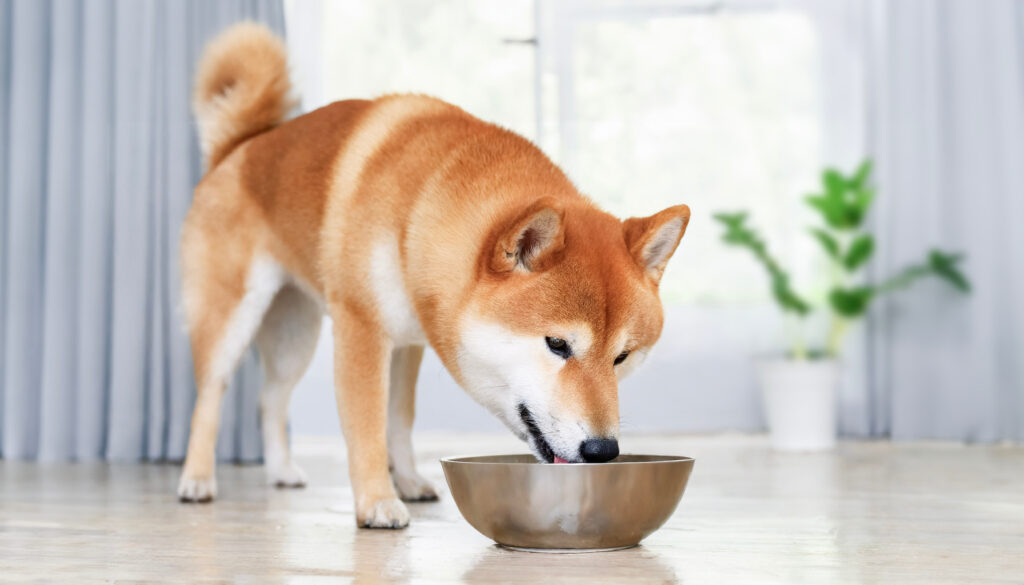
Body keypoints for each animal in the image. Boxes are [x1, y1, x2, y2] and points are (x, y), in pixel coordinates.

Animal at [180, 22, 692, 528]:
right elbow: (368, 425)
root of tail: (236, 149)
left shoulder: (407, 344)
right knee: (211, 395)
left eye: (622, 357)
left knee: (270, 399)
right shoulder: (363, 329)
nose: (603, 450)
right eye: (558, 344)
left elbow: (399, 419)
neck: (417, 209)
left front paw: (406, 479)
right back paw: (197, 479)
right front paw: (377, 502)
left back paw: (282, 471)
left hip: (294, 338)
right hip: (234, 317)